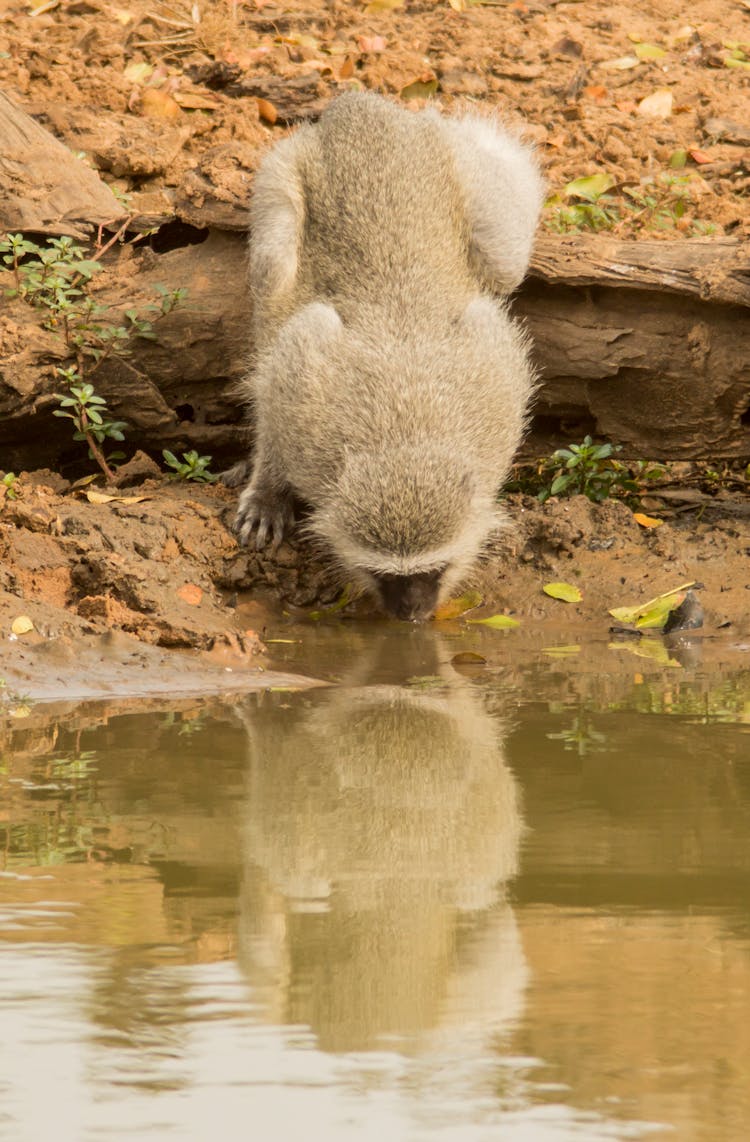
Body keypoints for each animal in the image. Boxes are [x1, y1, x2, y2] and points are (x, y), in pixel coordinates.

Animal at [230, 90, 541, 621]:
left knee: (504, 265)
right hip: (284, 165)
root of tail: (364, 112)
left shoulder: (499, 400)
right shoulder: (299, 397)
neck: (402, 432)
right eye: (385, 575)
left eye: (434, 571)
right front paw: (267, 495)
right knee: (271, 274)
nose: (411, 613)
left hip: (456, 160)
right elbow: (275, 411)